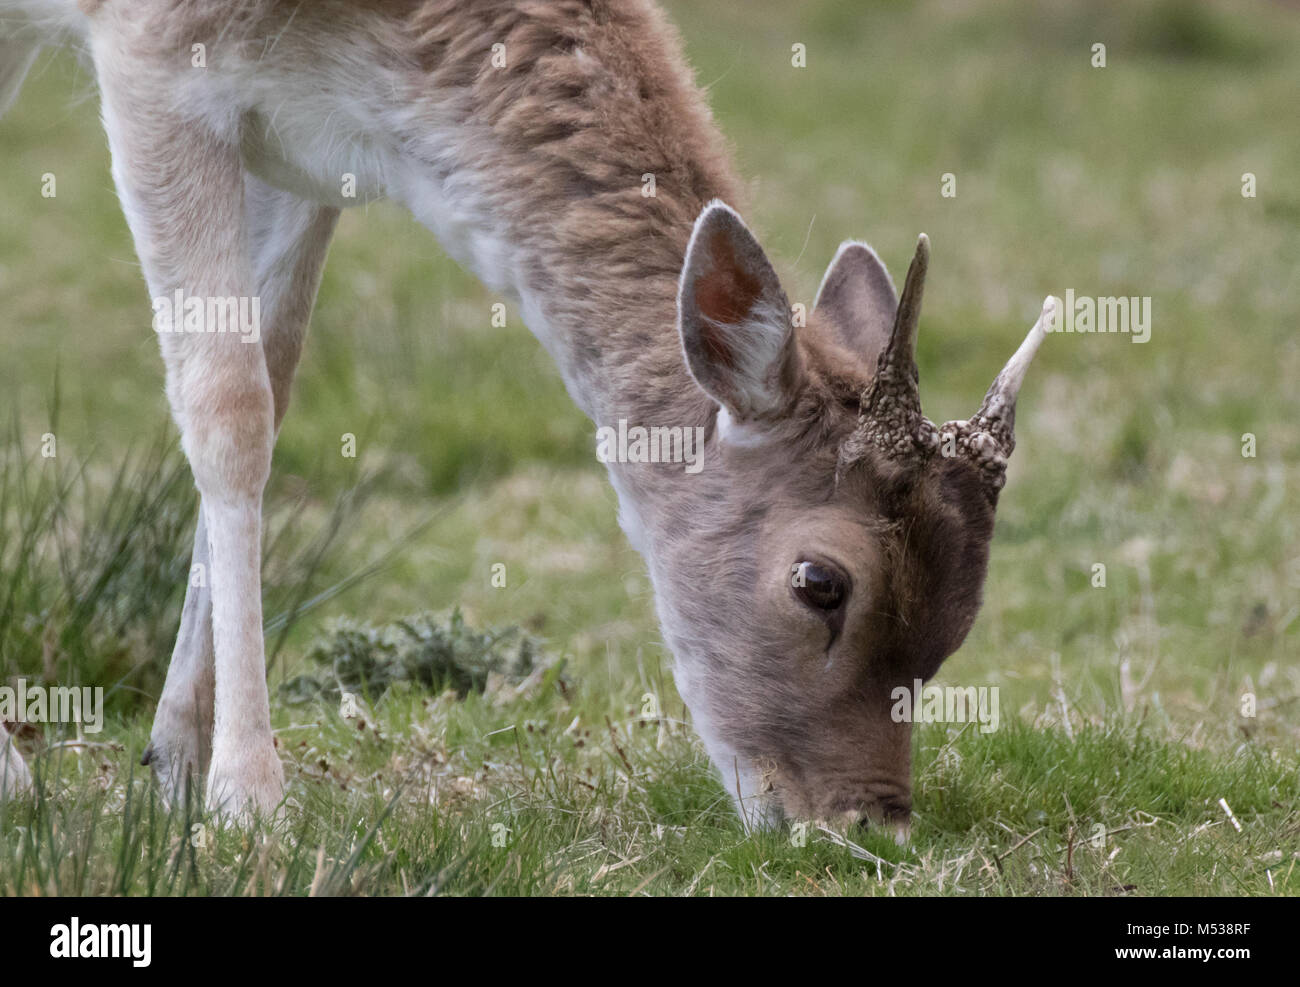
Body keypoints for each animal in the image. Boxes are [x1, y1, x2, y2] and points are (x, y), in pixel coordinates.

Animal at [0, 0, 1055, 832]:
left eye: (965, 616)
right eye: (820, 582)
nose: (867, 824)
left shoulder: (297, 145)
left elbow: (277, 369)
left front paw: (175, 762)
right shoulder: (150, 52)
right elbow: (228, 406)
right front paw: (248, 795)